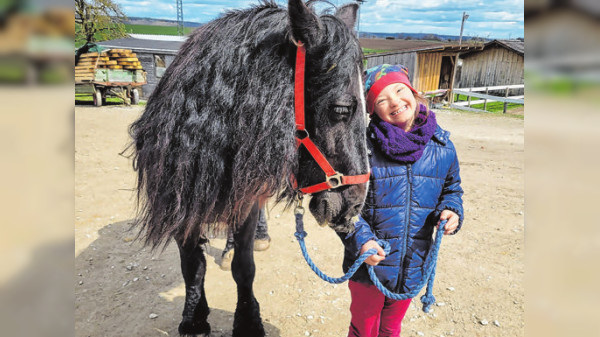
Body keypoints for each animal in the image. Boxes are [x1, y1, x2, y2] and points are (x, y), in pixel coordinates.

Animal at [129, 1, 368, 334]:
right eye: (341, 109)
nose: (356, 204)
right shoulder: (179, 201)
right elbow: (192, 265)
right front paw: (194, 318)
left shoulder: (246, 198)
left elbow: (243, 267)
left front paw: (247, 323)